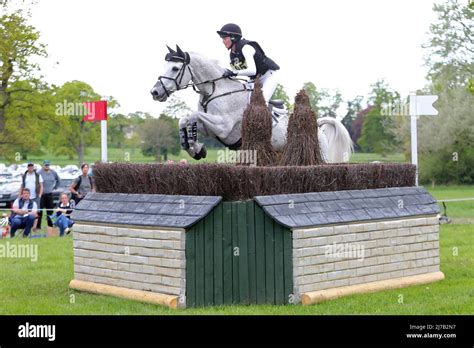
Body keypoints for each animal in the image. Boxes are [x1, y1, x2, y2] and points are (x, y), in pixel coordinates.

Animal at [150, 44, 354, 162]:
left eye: (175, 68)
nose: (155, 92)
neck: (215, 90)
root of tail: (317, 127)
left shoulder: (222, 127)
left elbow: (192, 115)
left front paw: (195, 147)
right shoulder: (211, 127)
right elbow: (184, 120)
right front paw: (194, 148)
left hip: (320, 156)